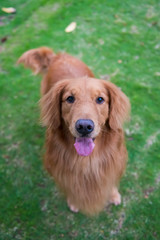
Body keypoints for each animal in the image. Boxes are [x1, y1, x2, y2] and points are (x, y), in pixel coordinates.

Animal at [18, 47, 130, 216]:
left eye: (100, 99)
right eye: (70, 98)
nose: (84, 126)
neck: (86, 161)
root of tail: (58, 56)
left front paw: (113, 194)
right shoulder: (62, 170)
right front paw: (74, 201)